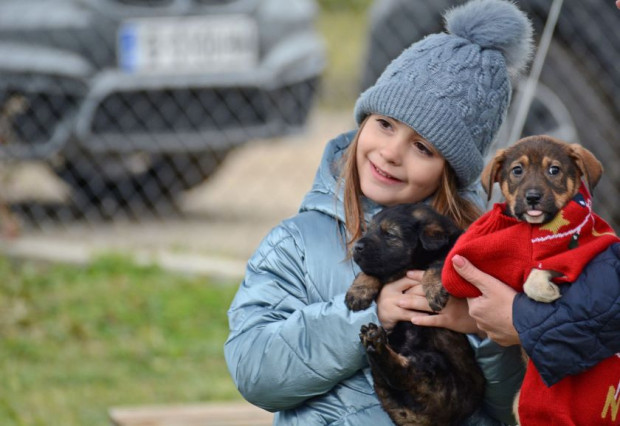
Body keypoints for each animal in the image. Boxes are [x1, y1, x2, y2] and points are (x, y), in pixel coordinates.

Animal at [344, 203, 484, 426]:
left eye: (389, 234)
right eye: (369, 230)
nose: (356, 247)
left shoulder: (459, 257)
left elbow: (440, 263)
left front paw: (434, 289)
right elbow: (370, 271)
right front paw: (358, 291)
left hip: (435, 368)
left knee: (403, 374)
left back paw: (375, 342)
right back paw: (373, 340)